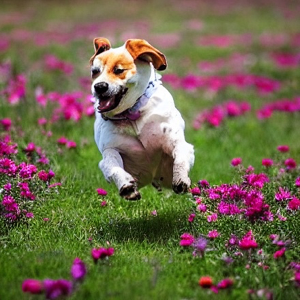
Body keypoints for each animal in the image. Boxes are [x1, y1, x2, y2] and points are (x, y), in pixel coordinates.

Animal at [89, 38, 195, 200]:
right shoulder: (110, 148)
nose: (99, 86)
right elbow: (111, 164)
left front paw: (181, 179)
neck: (132, 114)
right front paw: (126, 186)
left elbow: (180, 156)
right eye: (95, 71)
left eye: (118, 70)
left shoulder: (176, 141)